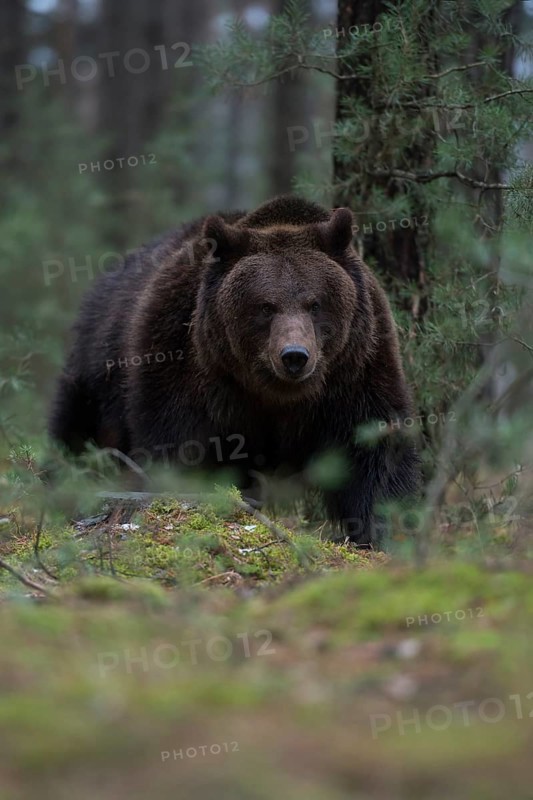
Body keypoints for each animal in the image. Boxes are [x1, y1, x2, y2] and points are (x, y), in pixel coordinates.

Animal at [49, 195, 420, 546]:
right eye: (266, 306)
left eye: (315, 304)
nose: (294, 356)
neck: (276, 394)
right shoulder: (185, 363)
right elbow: (181, 445)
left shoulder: (357, 369)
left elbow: (374, 450)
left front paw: (384, 528)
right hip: (98, 371)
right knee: (77, 435)